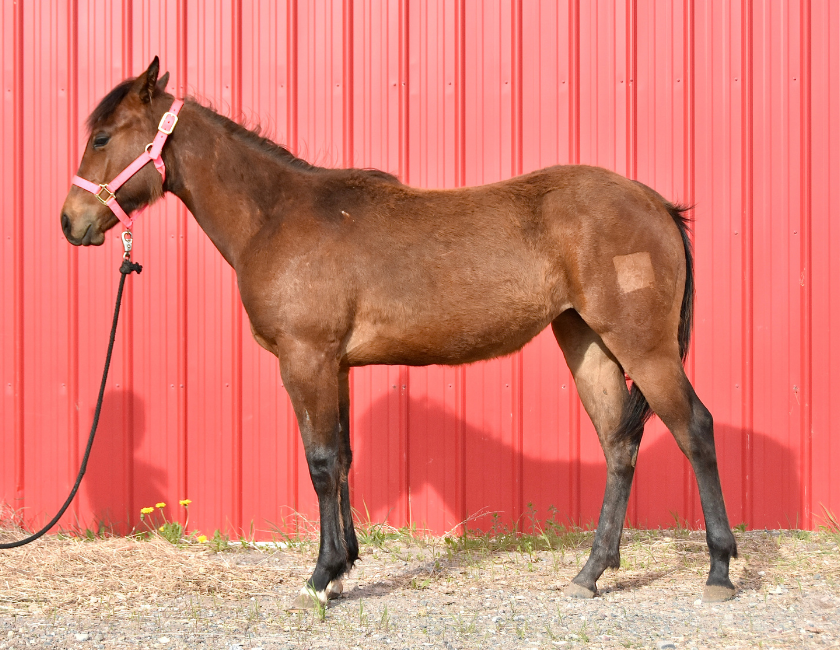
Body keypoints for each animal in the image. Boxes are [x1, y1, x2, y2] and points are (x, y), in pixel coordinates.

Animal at [60, 58, 738, 608]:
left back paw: (719, 571)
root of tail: (655, 203)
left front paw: (319, 578)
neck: (276, 215)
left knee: (696, 429)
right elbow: (343, 458)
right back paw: (591, 573)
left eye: (101, 136)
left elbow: (320, 463)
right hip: (587, 344)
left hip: (644, 349)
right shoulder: (335, 366)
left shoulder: (306, 360)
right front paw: (343, 568)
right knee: (619, 447)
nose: (71, 222)